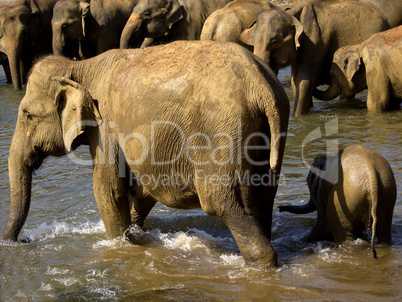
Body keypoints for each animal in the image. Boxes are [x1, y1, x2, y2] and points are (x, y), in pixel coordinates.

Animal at [3, 41, 292, 268]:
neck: (81, 67)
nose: (24, 240)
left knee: (221, 201)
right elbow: (141, 192)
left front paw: (121, 246)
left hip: (223, 133)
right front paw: (135, 234)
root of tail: (260, 83)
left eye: (27, 115)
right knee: (261, 198)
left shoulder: (107, 125)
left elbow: (108, 191)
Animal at [239, 0, 390, 115]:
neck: (291, 13)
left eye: (274, 41)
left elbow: (304, 81)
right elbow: (295, 82)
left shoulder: (316, 43)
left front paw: (298, 116)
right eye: (252, 40)